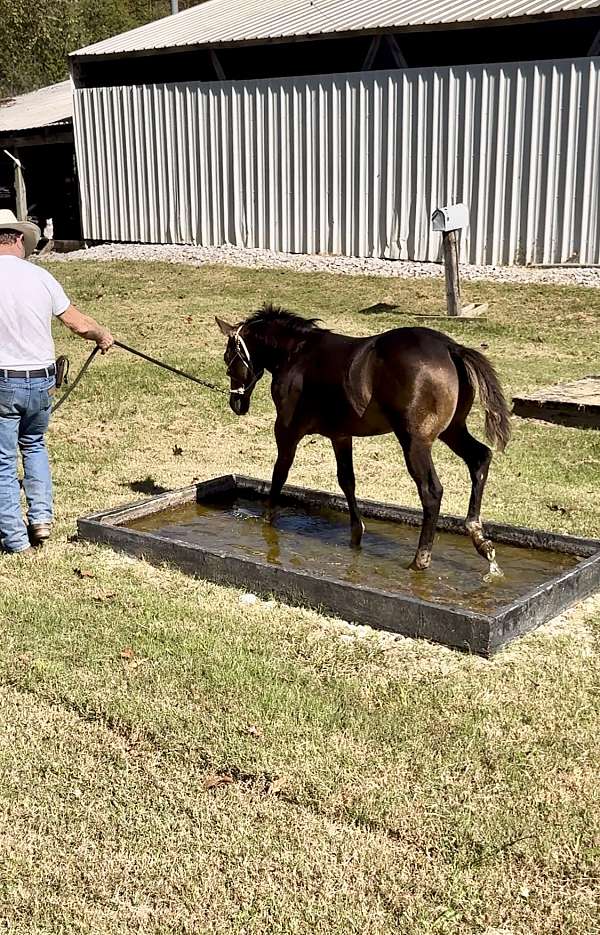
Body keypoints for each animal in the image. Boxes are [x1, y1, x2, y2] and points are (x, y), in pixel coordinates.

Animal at [217, 304, 510, 576]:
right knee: (480, 459)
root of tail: (450, 347)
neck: (297, 354)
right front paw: (356, 534)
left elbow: (279, 475)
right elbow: (347, 481)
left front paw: (267, 520)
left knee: (431, 491)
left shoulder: (287, 432)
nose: (236, 404)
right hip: (453, 431)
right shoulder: (341, 436)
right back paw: (480, 539)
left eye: (228, 358)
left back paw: (421, 559)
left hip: (415, 442)